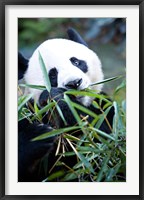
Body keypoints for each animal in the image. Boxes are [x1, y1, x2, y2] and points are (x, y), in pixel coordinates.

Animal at [18, 27, 115, 182]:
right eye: (52, 75)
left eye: (76, 62)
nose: (74, 83)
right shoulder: (27, 112)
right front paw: (36, 136)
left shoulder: (105, 107)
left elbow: (102, 141)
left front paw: (59, 97)